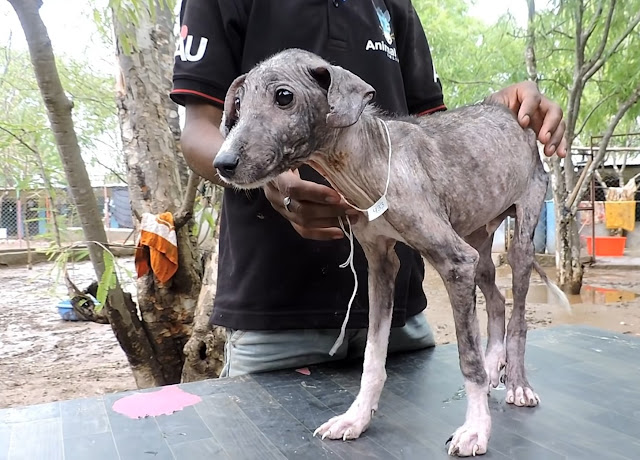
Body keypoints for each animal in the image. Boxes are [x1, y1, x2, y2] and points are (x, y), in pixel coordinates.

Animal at [211, 49, 568, 456]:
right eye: (239, 104)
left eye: (283, 97)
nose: (222, 164)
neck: (371, 163)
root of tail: (511, 116)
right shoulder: (381, 262)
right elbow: (372, 356)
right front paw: (356, 417)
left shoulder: (455, 261)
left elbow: (468, 359)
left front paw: (476, 428)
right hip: (477, 243)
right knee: (496, 300)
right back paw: (496, 364)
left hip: (519, 238)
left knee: (519, 316)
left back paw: (518, 384)